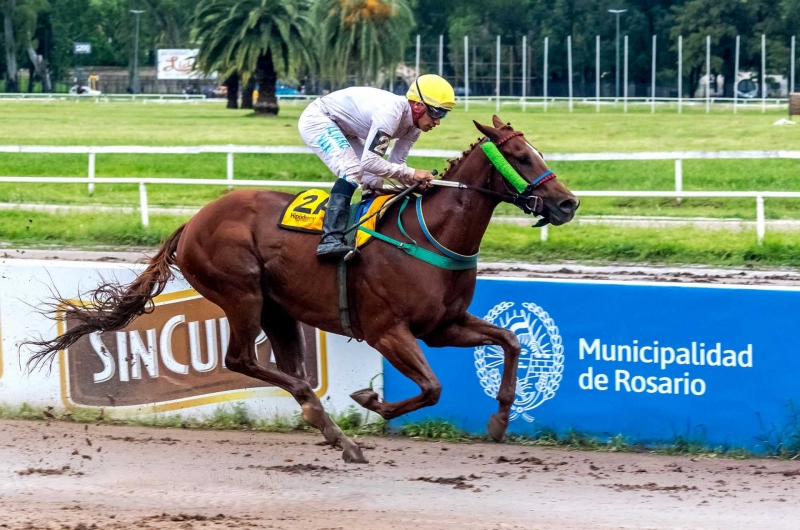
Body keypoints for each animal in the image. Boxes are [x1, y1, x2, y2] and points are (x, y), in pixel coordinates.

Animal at [23, 115, 576, 462]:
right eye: (522, 156)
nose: (568, 203)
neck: (427, 235)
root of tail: (192, 222)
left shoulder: (443, 326)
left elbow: (511, 341)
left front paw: (500, 419)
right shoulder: (388, 331)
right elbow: (432, 388)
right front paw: (371, 401)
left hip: (277, 308)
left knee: (290, 370)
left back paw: (331, 429)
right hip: (242, 293)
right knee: (242, 360)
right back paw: (330, 423)